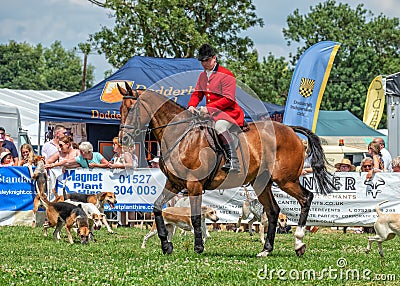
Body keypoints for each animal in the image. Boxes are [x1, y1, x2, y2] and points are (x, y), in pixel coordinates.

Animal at [118, 82, 334, 256]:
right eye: (120, 110)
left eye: (132, 109)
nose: (124, 139)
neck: (181, 136)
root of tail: (289, 129)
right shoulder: (174, 183)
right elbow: (157, 208)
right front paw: (166, 245)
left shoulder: (194, 185)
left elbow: (196, 217)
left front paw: (198, 247)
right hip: (262, 183)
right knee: (273, 211)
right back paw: (266, 250)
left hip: (286, 180)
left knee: (306, 198)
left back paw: (299, 243)